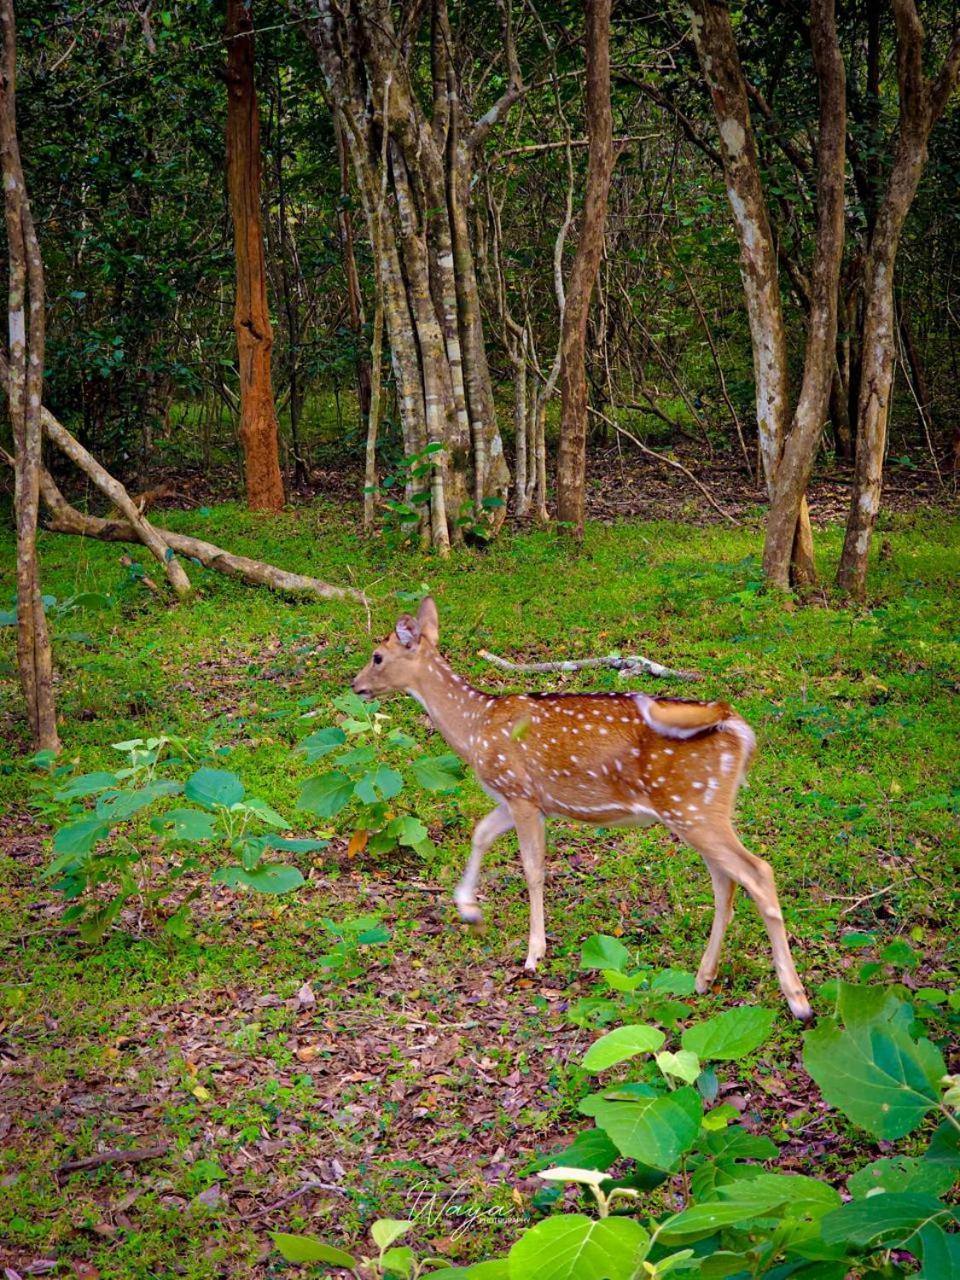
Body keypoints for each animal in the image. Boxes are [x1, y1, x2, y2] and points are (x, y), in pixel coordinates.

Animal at [358, 596, 814, 1018]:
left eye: (378, 655)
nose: (356, 684)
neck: (475, 728)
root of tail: (736, 723)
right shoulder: (520, 798)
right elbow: (480, 834)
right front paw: (469, 910)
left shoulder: (520, 792)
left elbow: (532, 869)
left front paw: (533, 955)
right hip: (702, 808)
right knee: (726, 883)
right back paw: (704, 978)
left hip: (692, 807)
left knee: (758, 872)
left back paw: (798, 1001)